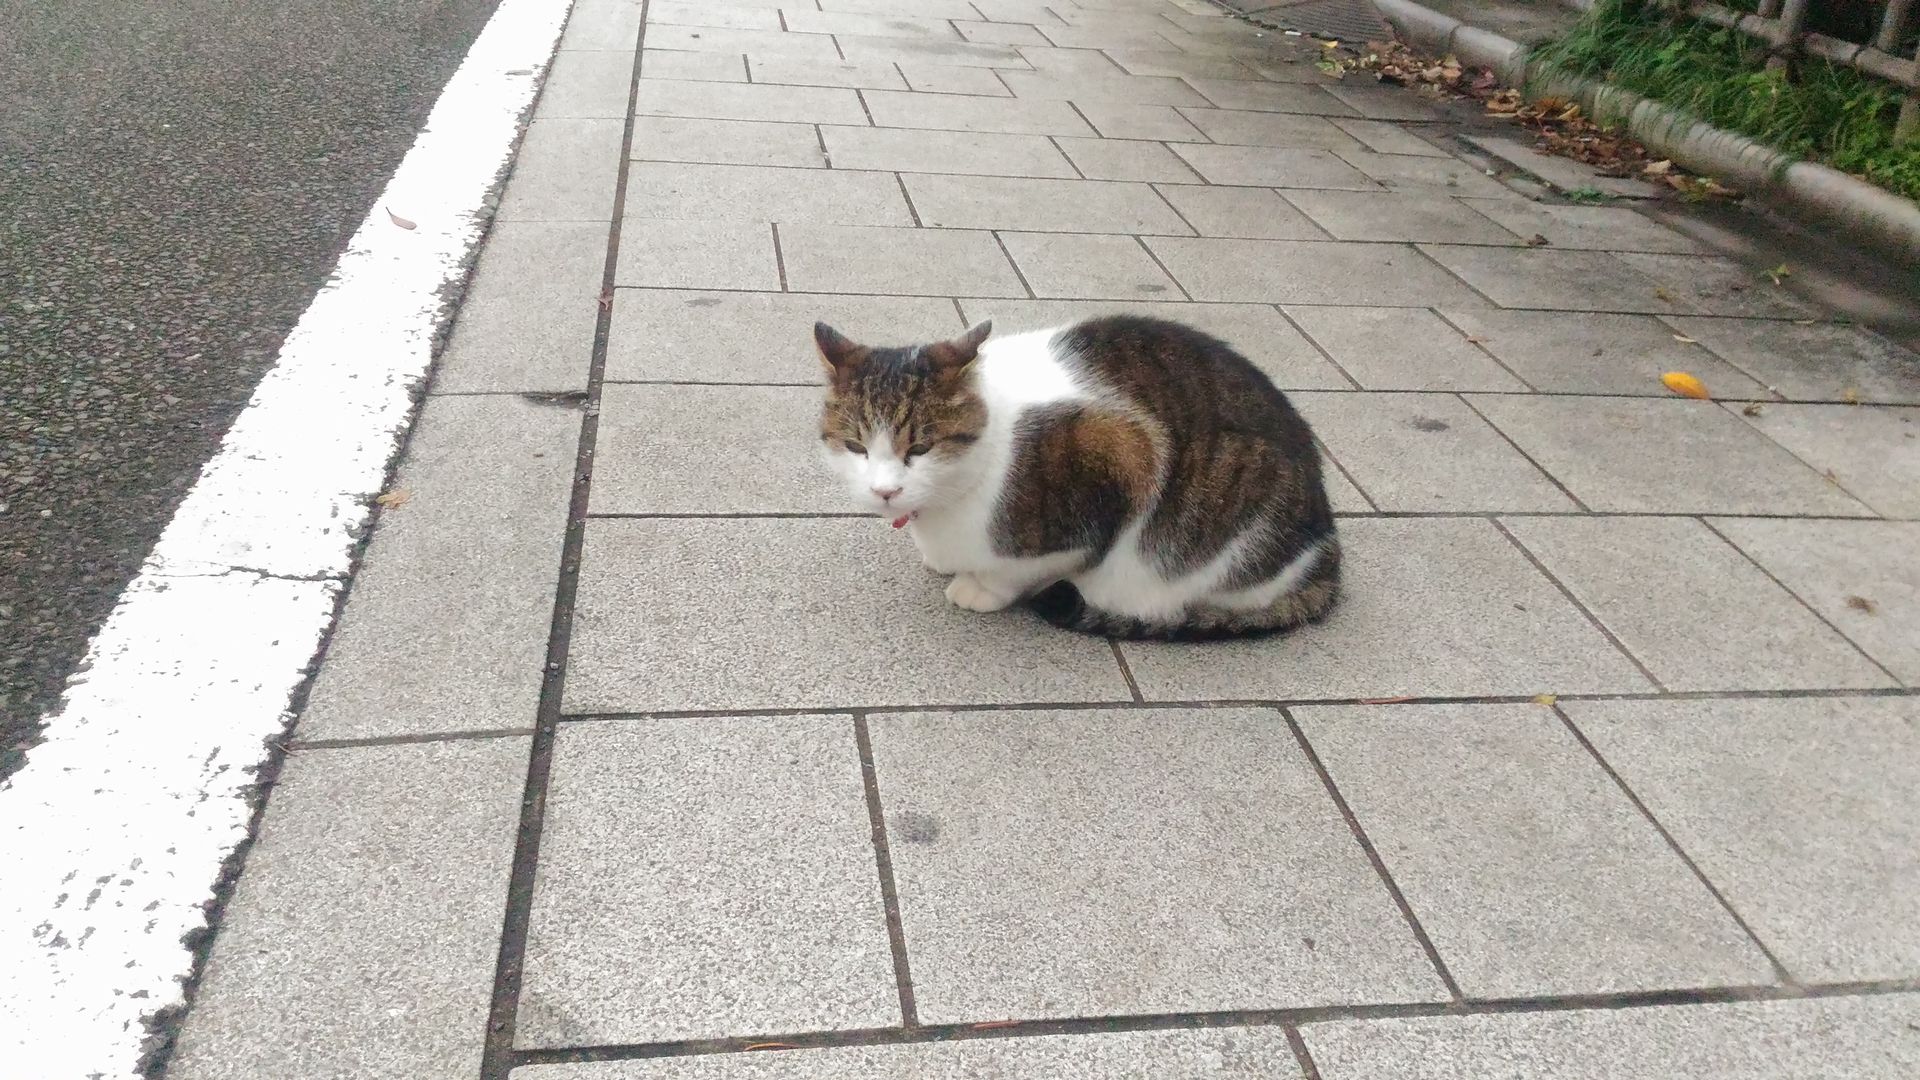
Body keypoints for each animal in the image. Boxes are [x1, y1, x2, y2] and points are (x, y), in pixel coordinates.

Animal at [817, 313, 1344, 638]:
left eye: (921, 448)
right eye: (857, 447)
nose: (885, 491)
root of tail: (1326, 549)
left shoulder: (1123, 455)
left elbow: (1026, 566)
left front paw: (980, 587)